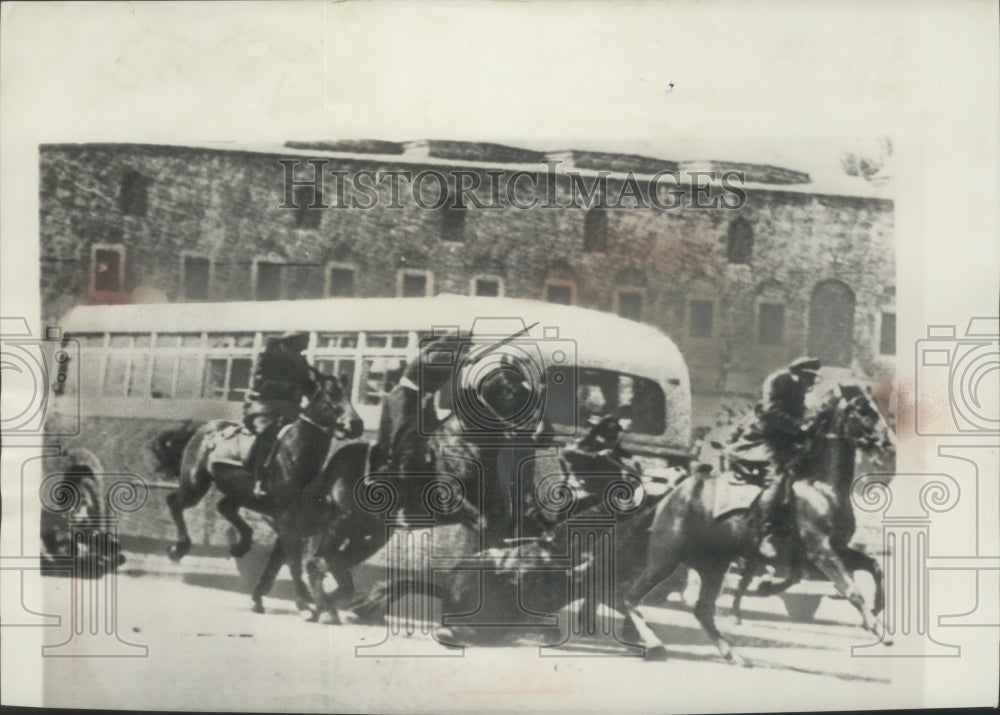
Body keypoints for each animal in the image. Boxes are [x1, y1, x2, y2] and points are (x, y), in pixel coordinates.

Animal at [164, 374, 364, 616]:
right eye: (331, 395)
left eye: (347, 394)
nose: (356, 424)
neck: (295, 453)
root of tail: (204, 429)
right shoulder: (286, 519)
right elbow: (293, 561)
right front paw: (303, 603)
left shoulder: (296, 523)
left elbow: (283, 559)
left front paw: (268, 597)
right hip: (195, 485)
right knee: (175, 502)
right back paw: (179, 548)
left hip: (237, 492)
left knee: (224, 507)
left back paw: (241, 544)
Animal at [620, 384, 896, 668]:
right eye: (862, 410)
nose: (887, 443)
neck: (821, 489)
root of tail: (672, 494)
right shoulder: (821, 551)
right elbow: (851, 590)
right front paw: (879, 629)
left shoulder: (831, 551)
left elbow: (873, 567)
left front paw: (875, 614)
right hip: (665, 558)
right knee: (630, 598)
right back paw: (655, 644)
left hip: (713, 567)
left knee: (702, 610)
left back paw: (734, 655)